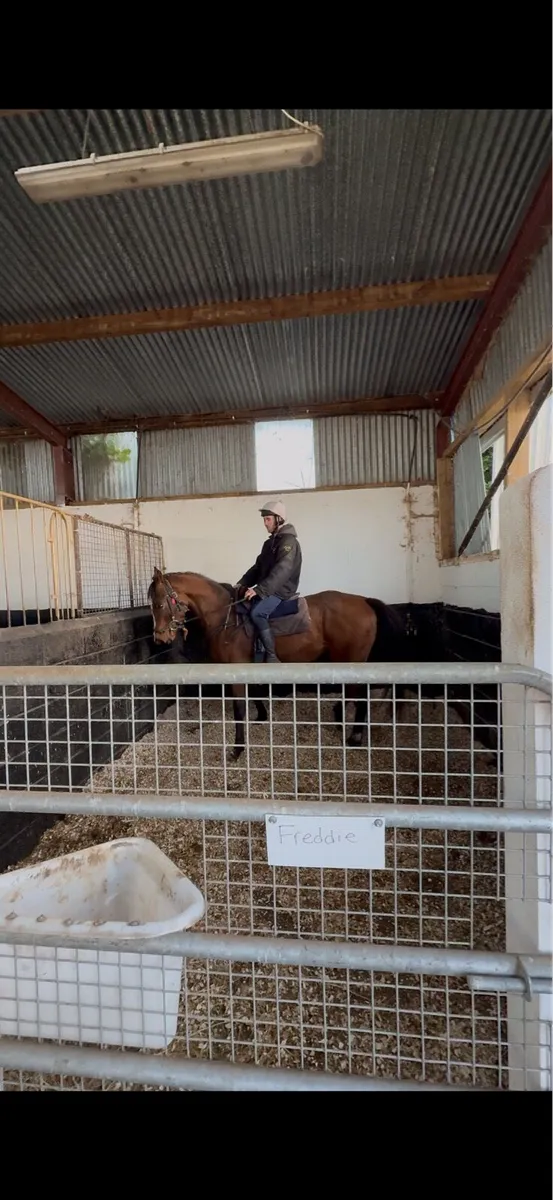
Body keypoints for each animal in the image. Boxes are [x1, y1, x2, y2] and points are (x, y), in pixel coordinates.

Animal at [148, 568, 405, 760]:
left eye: (159, 604)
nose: (160, 638)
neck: (227, 618)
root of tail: (365, 601)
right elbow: (254, 694)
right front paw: (261, 716)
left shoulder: (236, 669)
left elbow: (239, 709)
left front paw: (237, 749)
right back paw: (340, 718)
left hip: (352, 660)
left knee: (360, 695)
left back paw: (354, 736)